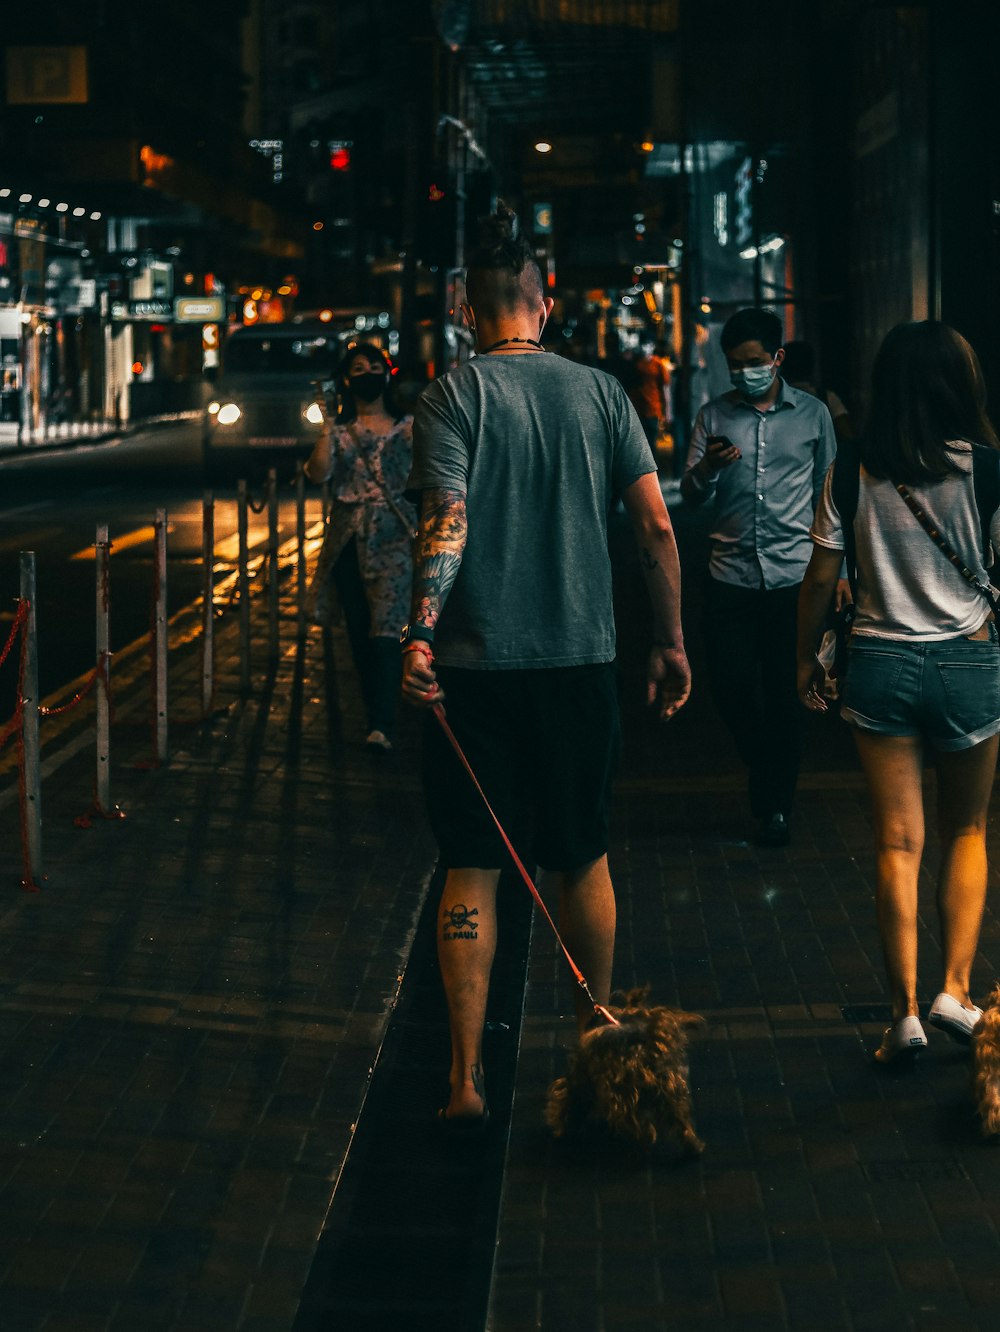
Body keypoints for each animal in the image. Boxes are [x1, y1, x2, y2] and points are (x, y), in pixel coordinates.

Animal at [548, 991, 703, 1156]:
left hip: (624, 1097)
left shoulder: (579, 1080)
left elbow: (565, 1103)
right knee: (680, 1120)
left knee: (635, 1126)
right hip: (670, 1093)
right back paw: (693, 1145)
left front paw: (562, 1128)